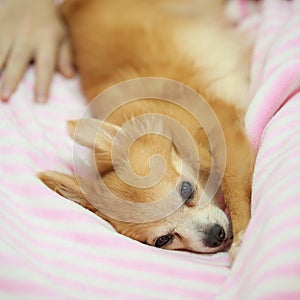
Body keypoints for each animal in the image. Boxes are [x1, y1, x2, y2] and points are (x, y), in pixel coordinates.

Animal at [38, 0, 254, 258]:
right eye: (164, 240)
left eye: (187, 190)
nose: (215, 235)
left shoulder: (225, 133)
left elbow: (234, 185)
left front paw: (242, 237)